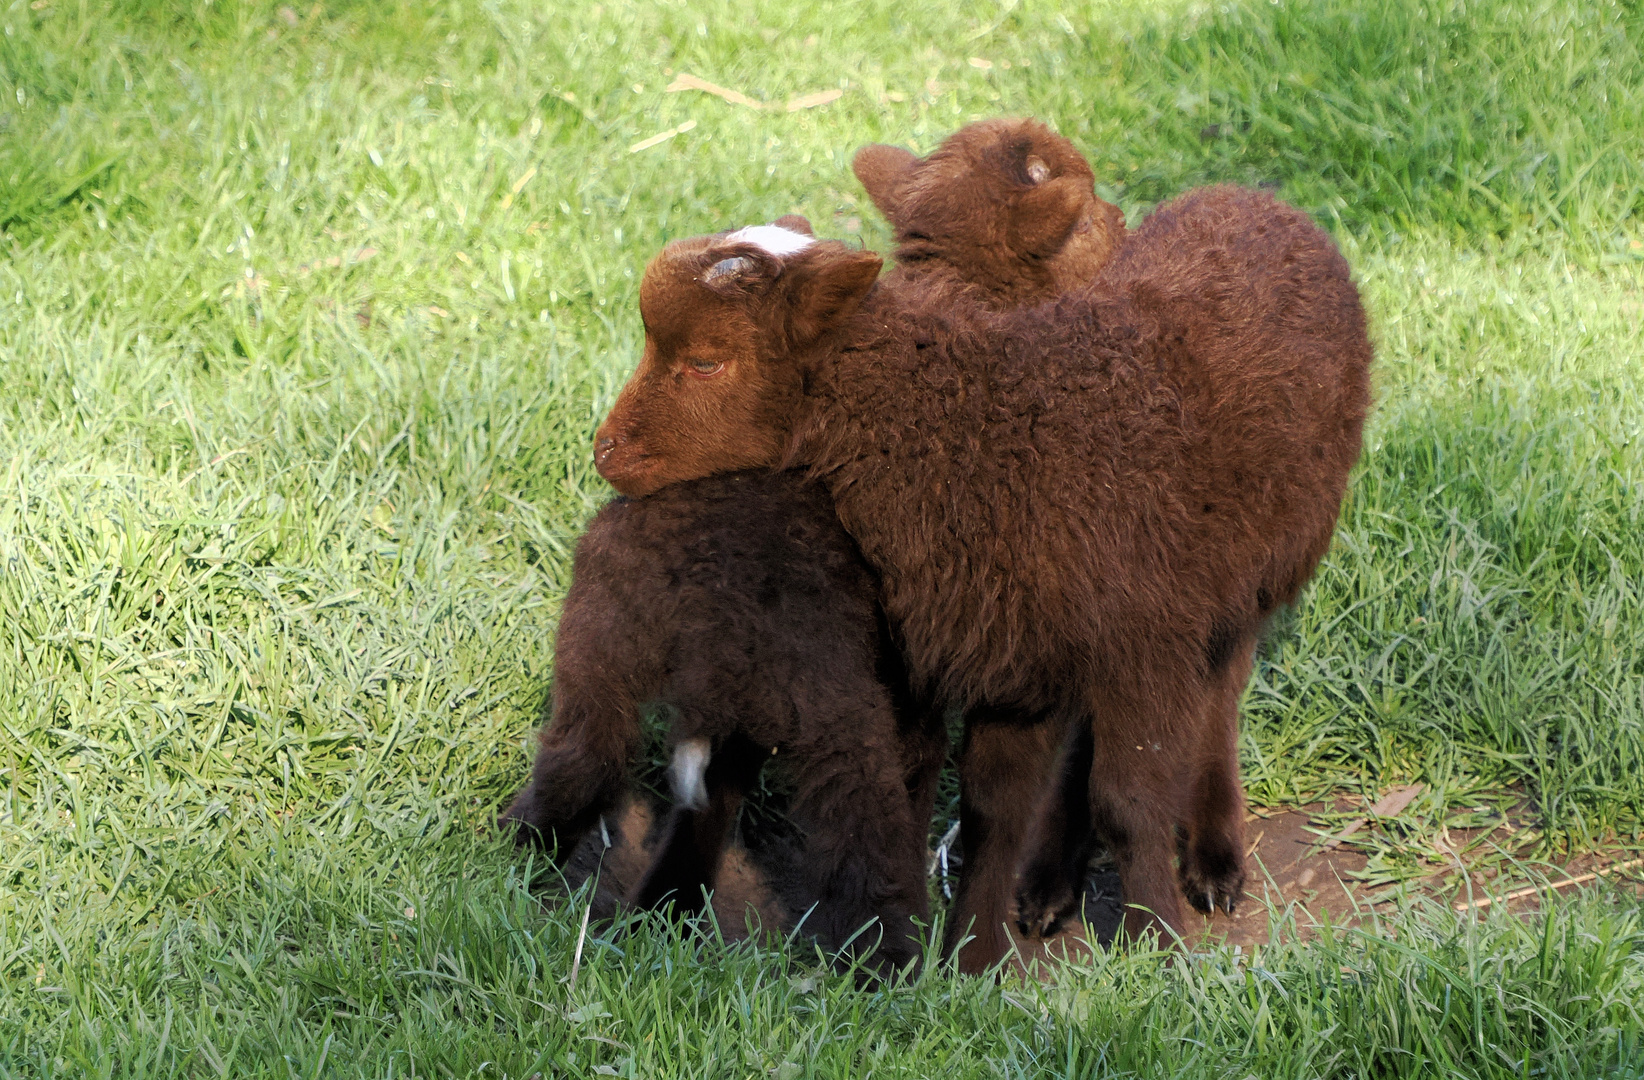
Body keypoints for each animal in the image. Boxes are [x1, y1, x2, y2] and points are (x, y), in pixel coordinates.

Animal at [591, 180, 1374, 966]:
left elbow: (1128, 800)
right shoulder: (995, 647)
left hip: (1255, 567)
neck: (974, 434)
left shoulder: (1142, 635)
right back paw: (1049, 880)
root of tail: (1257, 199)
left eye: (707, 362)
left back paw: (1212, 860)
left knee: (1222, 689)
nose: (605, 452)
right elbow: (972, 800)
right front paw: (960, 955)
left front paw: (1156, 942)